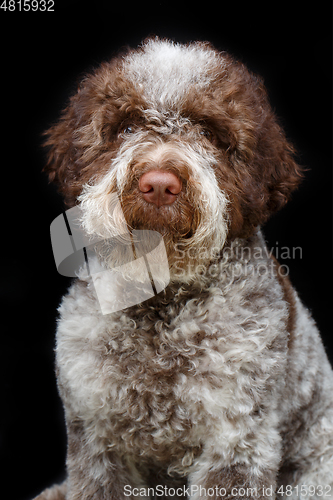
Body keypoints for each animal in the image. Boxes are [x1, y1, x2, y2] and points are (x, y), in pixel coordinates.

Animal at [36, 40, 332, 500]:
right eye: (126, 128)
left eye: (208, 134)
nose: (159, 184)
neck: (162, 305)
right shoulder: (96, 438)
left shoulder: (237, 441)